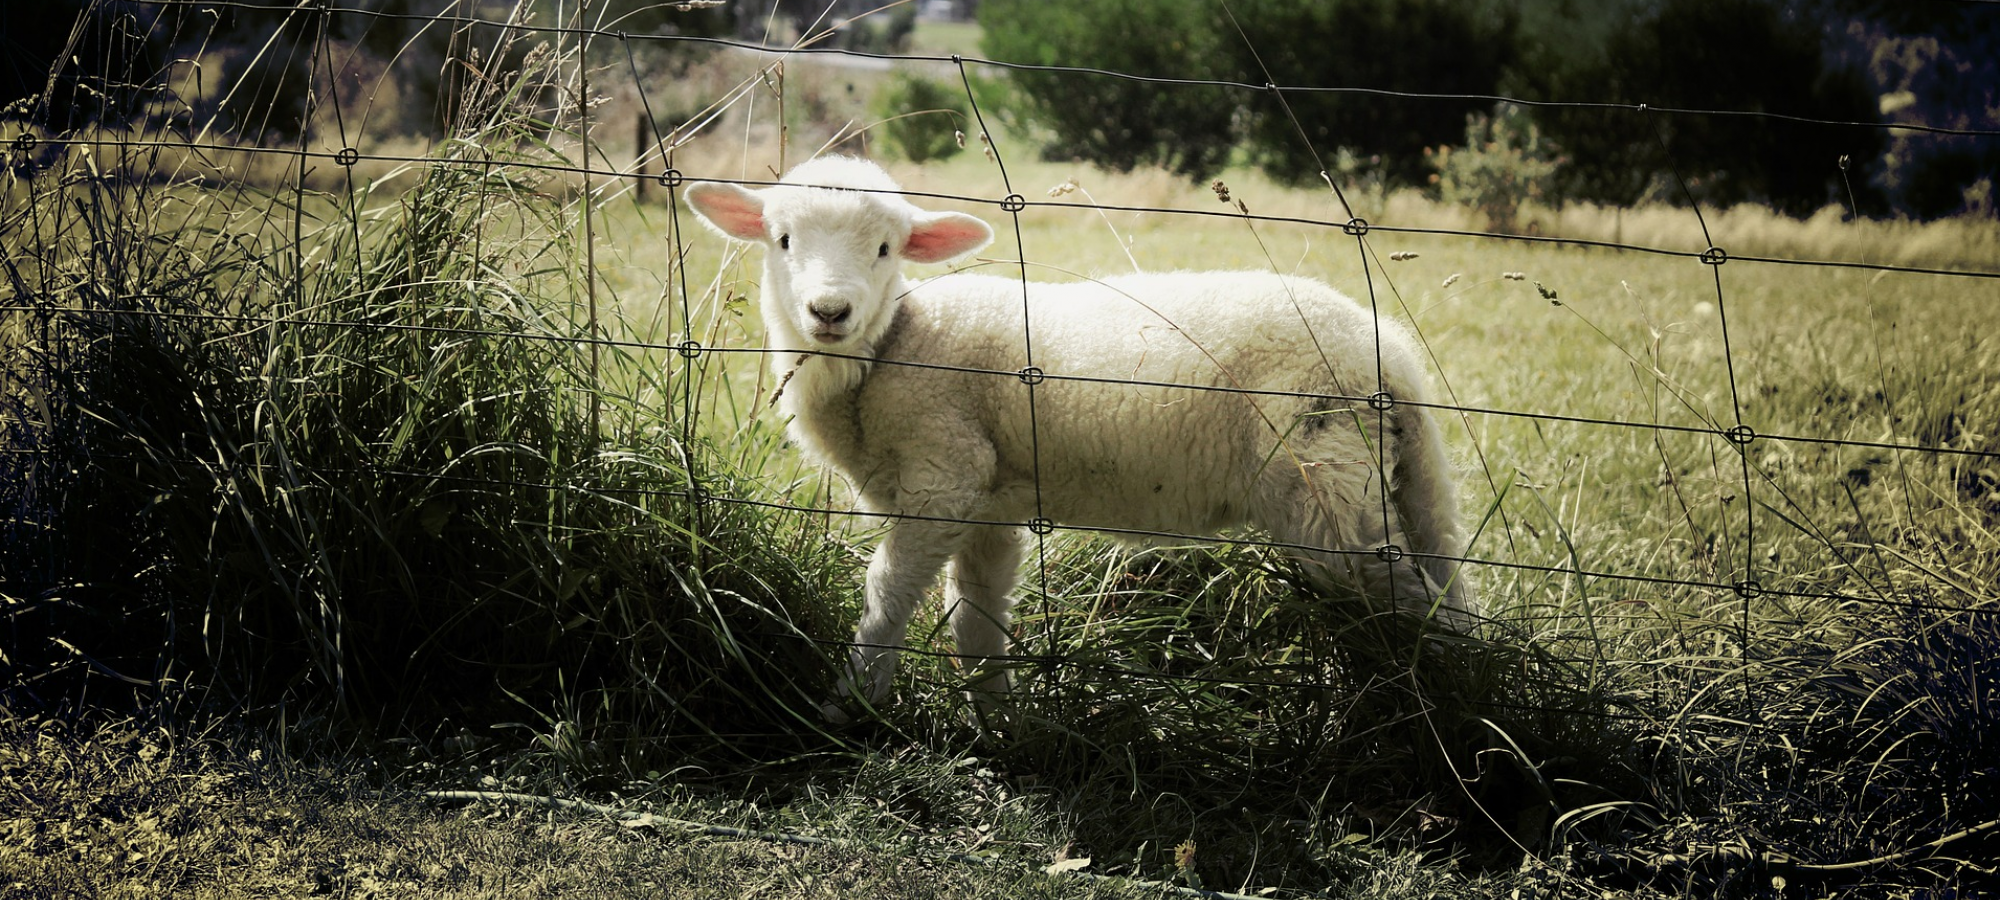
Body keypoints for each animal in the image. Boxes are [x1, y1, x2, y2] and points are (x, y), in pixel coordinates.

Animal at [684, 156, 1478, 718]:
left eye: (885, 249)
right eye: (783, 240)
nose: (829, 311)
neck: (888, 351)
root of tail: (1386, 353)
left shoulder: (945, 472)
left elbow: (888, 595)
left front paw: (849, 706)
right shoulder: (989, 506)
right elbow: (976, 614)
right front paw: (997, 722)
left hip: (1322, 486)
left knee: (1407, 598)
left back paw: (1445, 709)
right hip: (1389, 477)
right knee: (1444, 582)